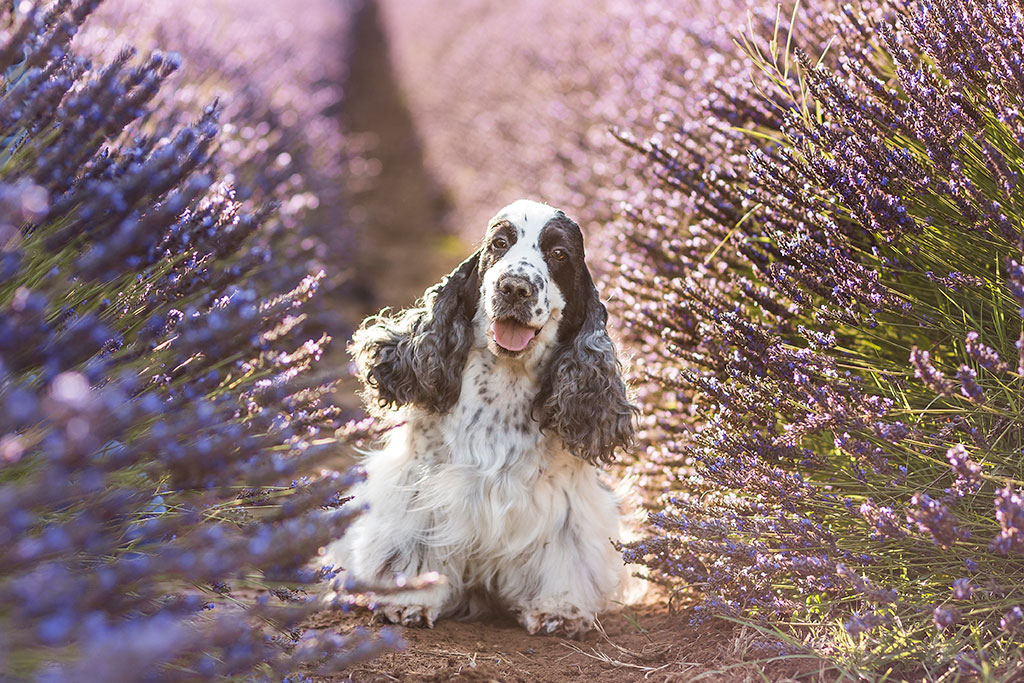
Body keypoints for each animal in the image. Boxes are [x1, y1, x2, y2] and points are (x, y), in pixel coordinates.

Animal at [323, 200, 634, 638]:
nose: (515, 287)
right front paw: (408, 599)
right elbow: (411, 545)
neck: (503, 384)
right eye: (500, 243)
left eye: (559, 253)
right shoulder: (419, 487)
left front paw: (560, 609)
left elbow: (563, 555)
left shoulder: (564, 504)